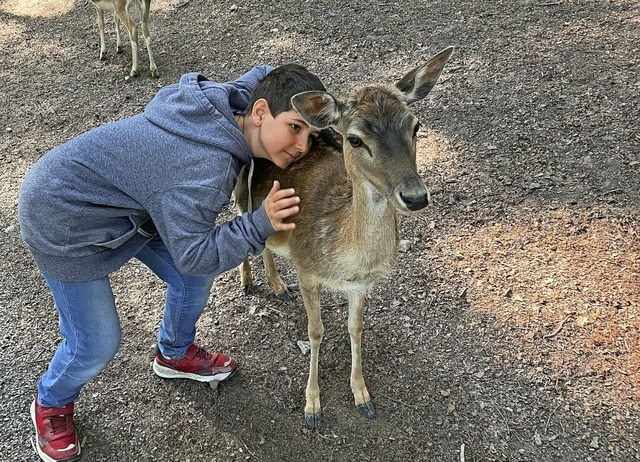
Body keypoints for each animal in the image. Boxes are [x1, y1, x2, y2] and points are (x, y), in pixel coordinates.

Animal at [235, 45, 456, 428]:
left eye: (415, 126)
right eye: (354, 139)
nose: (416, 197)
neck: (345, 261)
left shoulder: (361, 285)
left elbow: (356, 328)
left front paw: (362, 396)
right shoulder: (306, 268)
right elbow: (316, 331)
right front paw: (312, 406)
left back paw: (277, 286)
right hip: (235, 189)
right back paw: (247, 281)